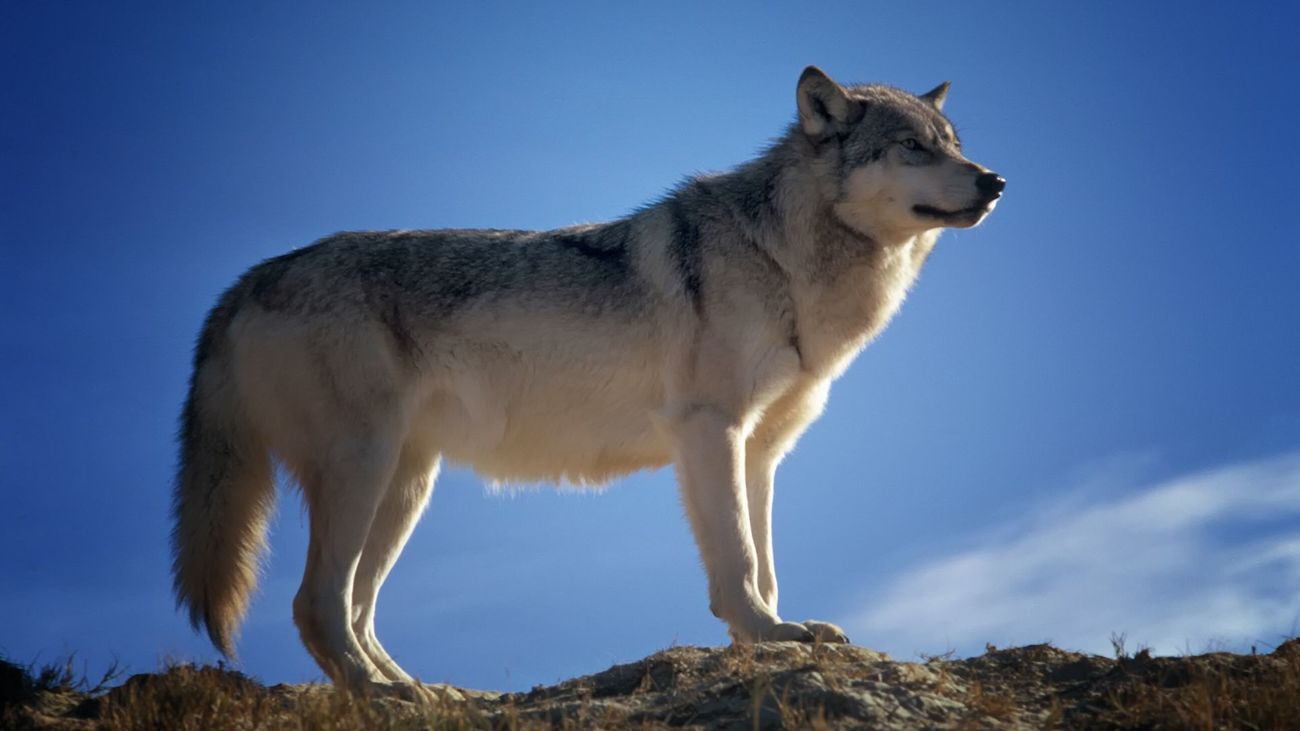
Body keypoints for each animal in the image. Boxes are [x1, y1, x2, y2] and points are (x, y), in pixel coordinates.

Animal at [172, 66, 1004, 695]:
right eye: (911, 147)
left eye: (953, 145)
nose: (995, 181)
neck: (783, 260)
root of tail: (246, 280)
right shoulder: (710, 431)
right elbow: (737, 561)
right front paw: (766, 635)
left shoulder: (761, 451)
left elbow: (765, 562)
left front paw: (774, 633)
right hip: (364, 469)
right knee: (316, 604)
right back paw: (380, 694)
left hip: (406, 487)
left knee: (356, 607)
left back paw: (421, 690)